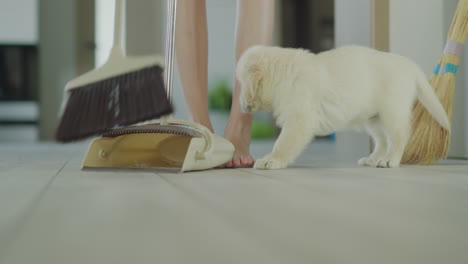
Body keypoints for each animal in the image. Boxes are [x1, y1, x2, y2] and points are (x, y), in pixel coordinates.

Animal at [238, 45, 450, 169]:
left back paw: (391, 159)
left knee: (399, 137)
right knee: (381, 141)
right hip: (373, 118)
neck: (284, 74)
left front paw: (272, 159)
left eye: (241, 84)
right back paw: (373, 158)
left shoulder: (299, 120)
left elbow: (283, 143)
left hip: (392, 111)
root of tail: (410, 65)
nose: (240, 104)